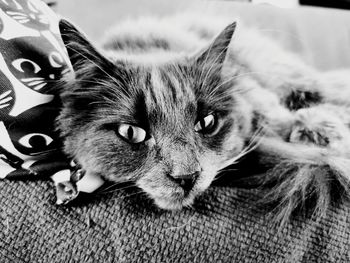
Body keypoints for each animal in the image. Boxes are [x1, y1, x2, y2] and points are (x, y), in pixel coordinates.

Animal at [56, 14, 350, 223]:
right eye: (131, 133)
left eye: (207, 123)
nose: (187, 177)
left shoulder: (255, 93)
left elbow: (281, 118)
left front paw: (325, 133)